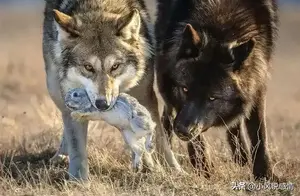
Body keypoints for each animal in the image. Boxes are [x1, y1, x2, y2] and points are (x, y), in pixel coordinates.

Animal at [42, 0, 180, 181]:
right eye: (88, 67)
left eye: (115, 66)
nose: (102, 104)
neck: (99, 7)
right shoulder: (71, 98)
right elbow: (77, 148)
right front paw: (79, 181)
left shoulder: (145, 96)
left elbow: (160, 139)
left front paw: (175, 171)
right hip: (54, 87)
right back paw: (61, 155)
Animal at [155, 0, 278, 181]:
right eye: (185, 89)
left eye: (212, 98)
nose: (183, 131)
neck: (221, 22)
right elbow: (197, 139)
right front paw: (203, 168)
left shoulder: (258, 83)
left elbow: (258, 131)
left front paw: (264, 174)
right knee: (167, 115)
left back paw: (241, 158)